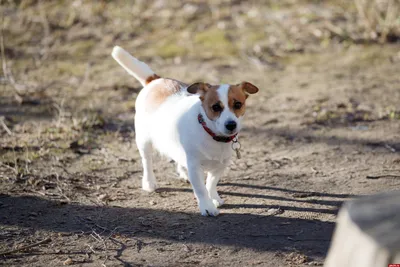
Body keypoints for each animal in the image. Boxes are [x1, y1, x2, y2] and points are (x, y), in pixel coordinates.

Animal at [111, 46, 260, 218]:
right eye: (216, 107)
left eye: (238, 104)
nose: (231, 125)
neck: (212, 135)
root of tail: (155, 80)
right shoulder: (195, 166)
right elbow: (201, 189)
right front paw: (207, 206)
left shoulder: (220, 166)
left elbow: (211, 184)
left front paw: (214, 198)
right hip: (143, 141)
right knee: (147, 161)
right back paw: (149, 183)